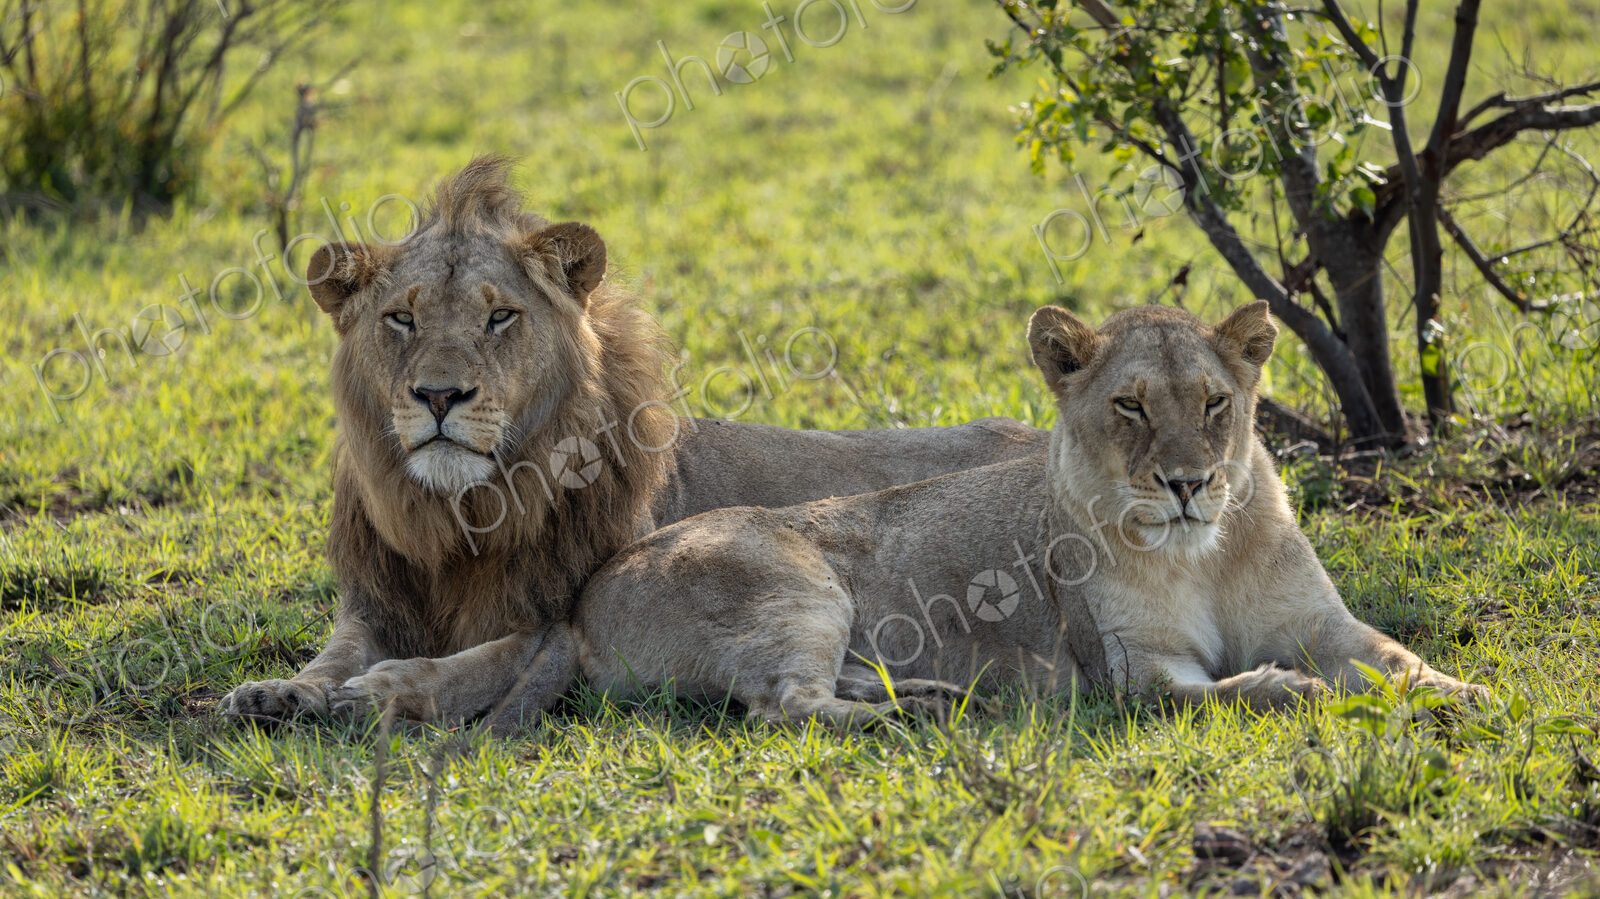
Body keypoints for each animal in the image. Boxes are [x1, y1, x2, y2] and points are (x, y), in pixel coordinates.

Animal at [218, 157, 1047, 723]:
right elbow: (334, 651)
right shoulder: (378, 603)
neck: (462, 518)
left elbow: (468, 664)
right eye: (402, 318)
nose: (439, 395)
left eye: (500, 316)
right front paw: (279, 690)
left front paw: (379, 691)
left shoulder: (558, 620)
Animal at [459, 301, 1487, 730]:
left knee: (825, 686)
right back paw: (908, 720)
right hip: (799, 586)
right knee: (782, 706)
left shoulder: (1323, 621)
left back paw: (933, 697)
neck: (1201, 552)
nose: (1189, 483)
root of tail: (581, 598)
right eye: (1130, 406)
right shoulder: (1137, 674)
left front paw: (1466, 694)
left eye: (1214, 404)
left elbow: (1396, 657)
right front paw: (1303, 691)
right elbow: (1240, 688)